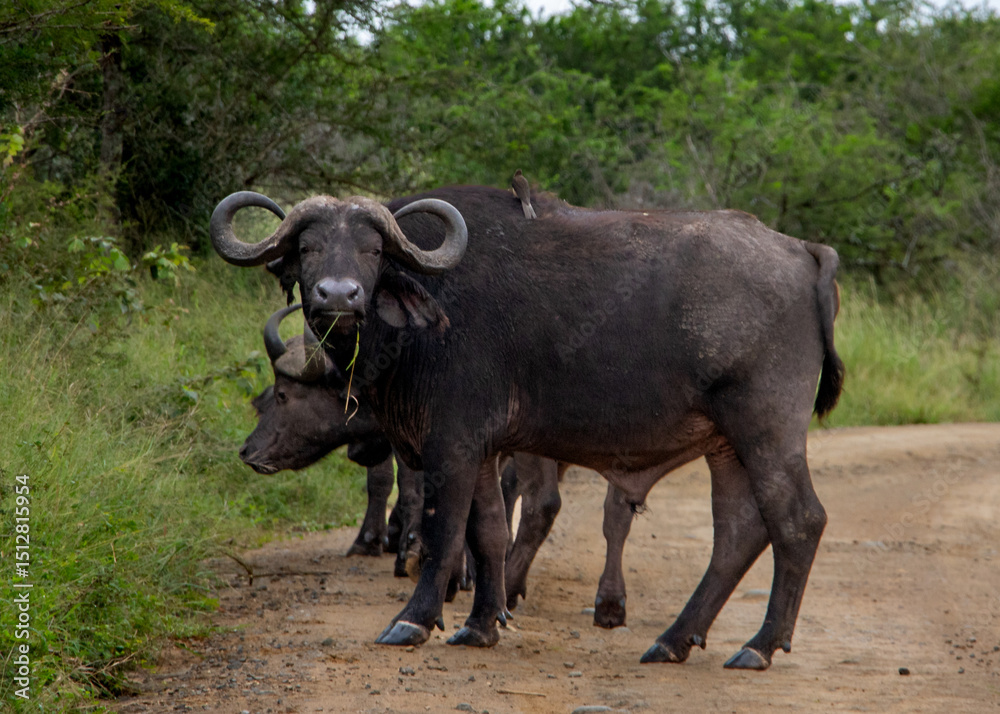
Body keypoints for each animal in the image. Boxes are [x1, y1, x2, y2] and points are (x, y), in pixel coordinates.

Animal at [211, 185, 843, 669]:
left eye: (371, 249)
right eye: (308, 247)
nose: (338, 296)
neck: (421, 323)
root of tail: (804, 251)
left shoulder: (451, 445)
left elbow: (444, 532)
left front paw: (414, 620)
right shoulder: (486, 450)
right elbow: (489, 531)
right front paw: (481, 624)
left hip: (766, 429)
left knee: (798, 520)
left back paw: (760, 645)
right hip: (724, 445)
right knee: (738, 532)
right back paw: (673, 639)